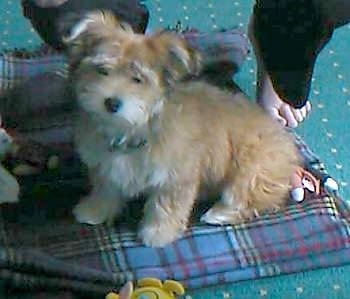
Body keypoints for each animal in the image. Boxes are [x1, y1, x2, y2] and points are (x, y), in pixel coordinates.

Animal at [65, 10, 300, 247]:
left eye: (137, 79)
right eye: (102, 71)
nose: (111, 103)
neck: (133, 126)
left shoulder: (176, 177)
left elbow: (166, 205)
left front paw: (157, 233)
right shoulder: (107, 167)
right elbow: (105, 189)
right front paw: (95, 210)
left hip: (253, 168)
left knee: (245, 196)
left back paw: (219, 213)